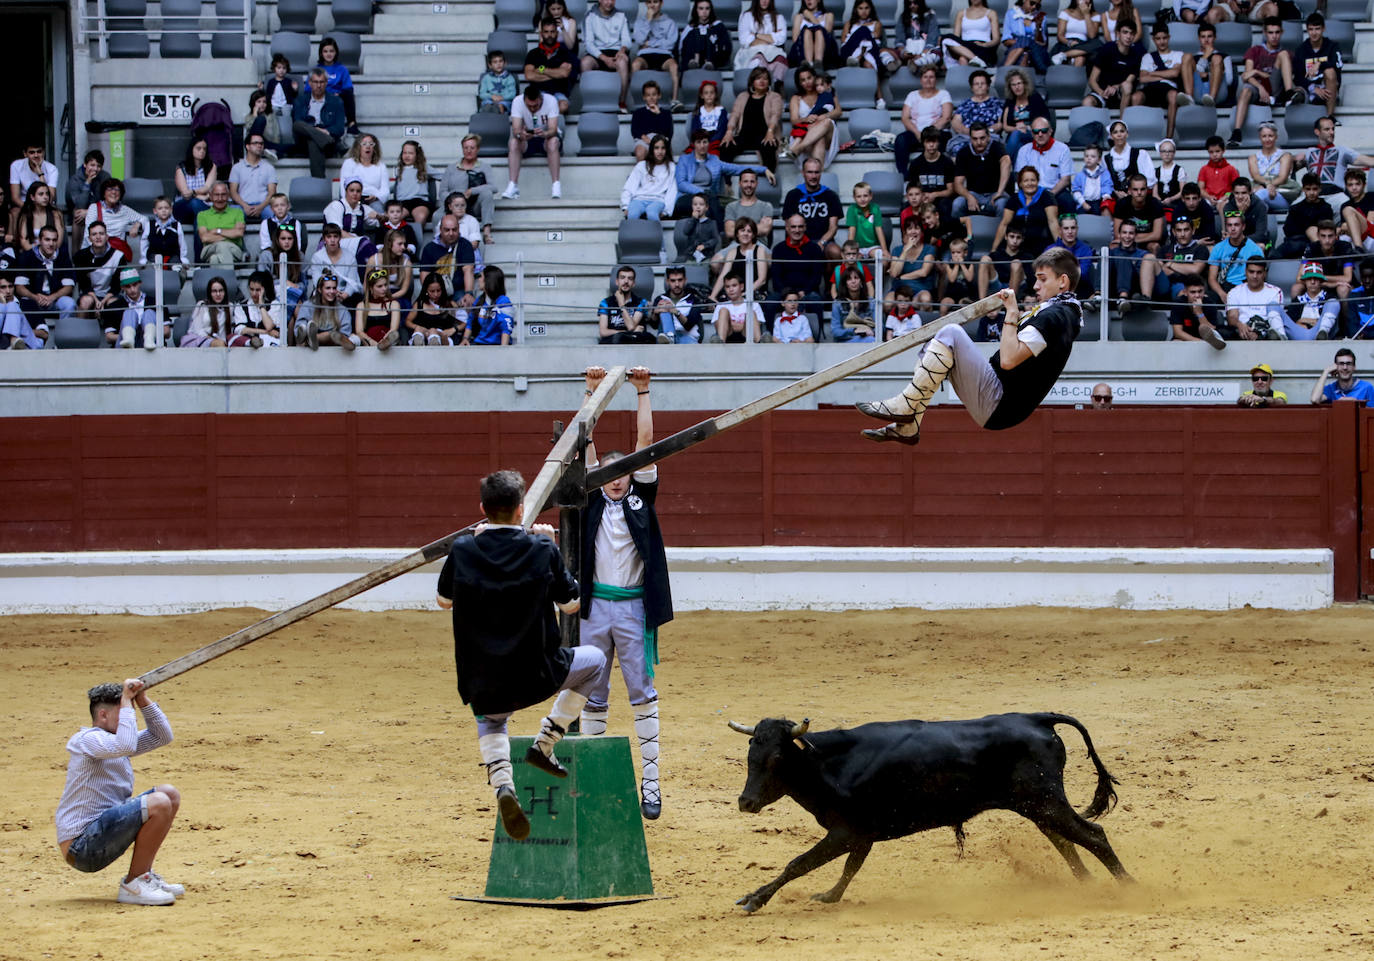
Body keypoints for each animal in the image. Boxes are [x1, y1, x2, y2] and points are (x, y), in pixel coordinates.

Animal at [736, 709, 1132, 912]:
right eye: (750, 753)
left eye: (776, 758)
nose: (745, 802)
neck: (829, 762)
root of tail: (1036, 719)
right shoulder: (862, 834)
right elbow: (850, 868)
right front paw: (829, 896)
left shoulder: (846, 831)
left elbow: (799, 863)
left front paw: (753, 899)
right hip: (1037, 806)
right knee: (1064, 841)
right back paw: (1087, 885)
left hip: (1047, 802)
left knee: (1093, 836)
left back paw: (1129, 887)